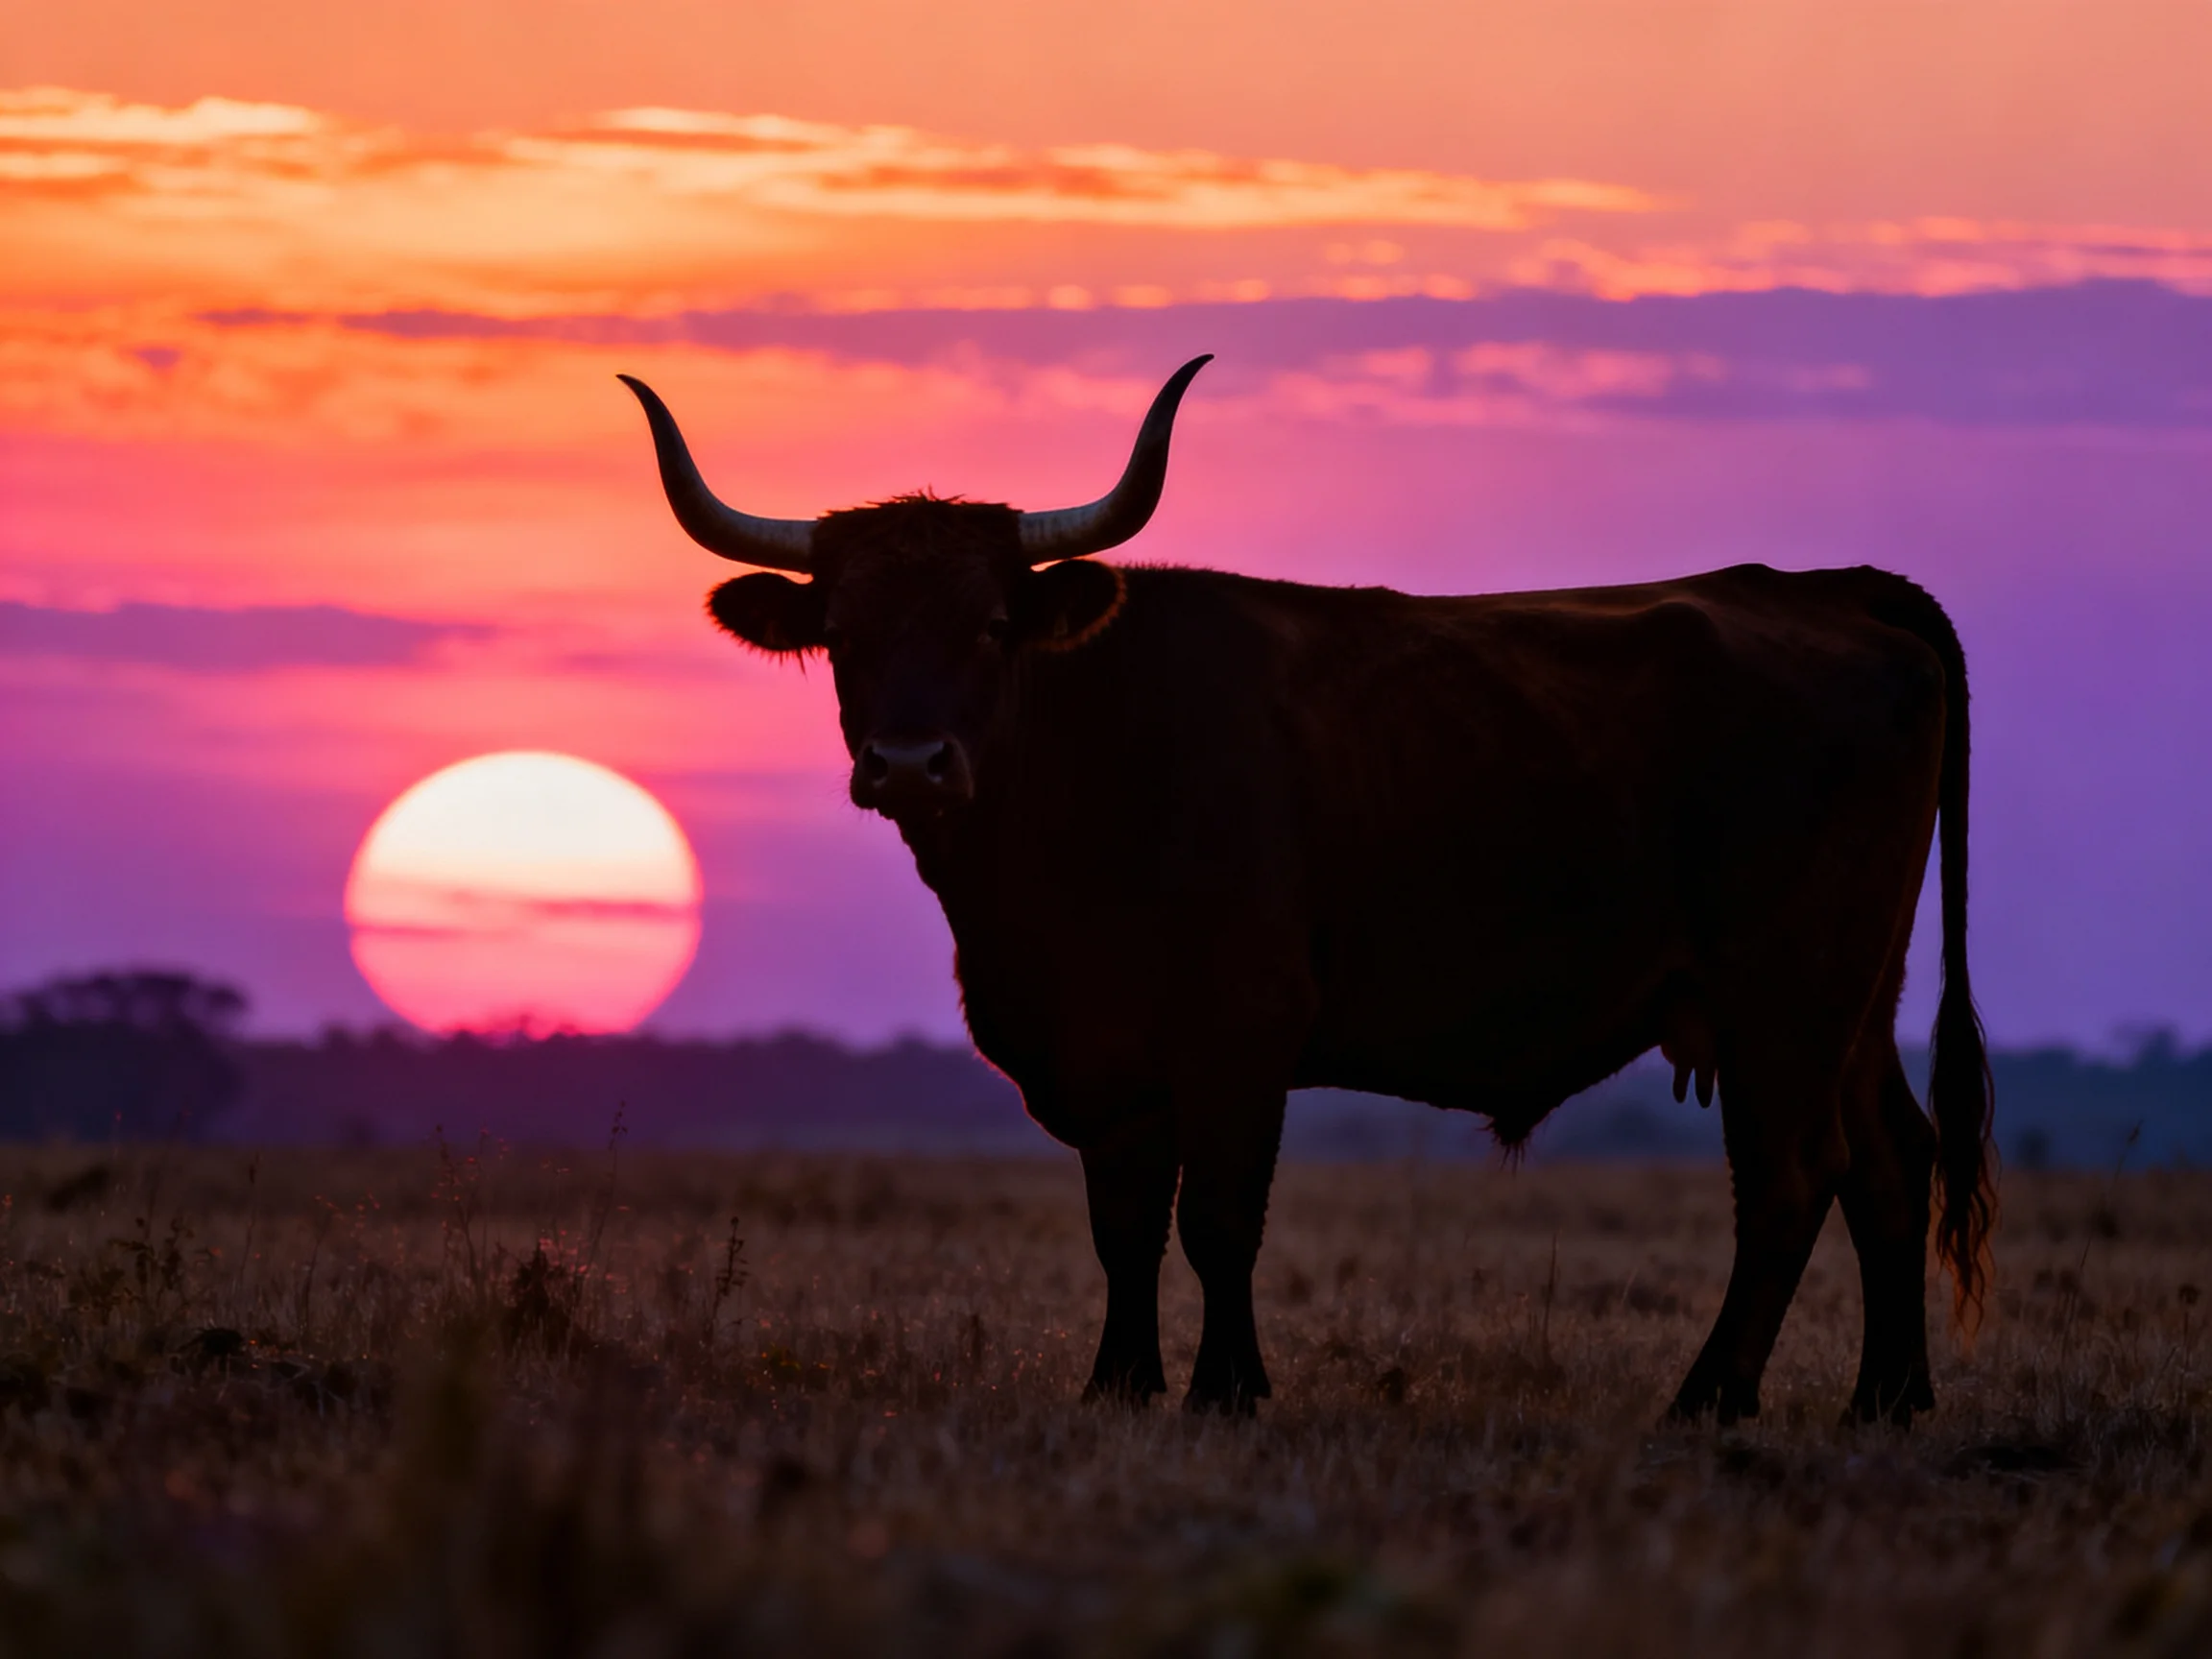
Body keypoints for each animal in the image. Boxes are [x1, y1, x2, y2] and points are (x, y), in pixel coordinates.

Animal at [620, 356, 1995, 1425]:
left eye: (992, 624)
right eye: (846, 631)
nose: (910, 762)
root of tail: (1830, 590)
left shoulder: (1240, 1029)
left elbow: (1220, 1217)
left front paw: (1227, 1390)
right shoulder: (1111, 1058)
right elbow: (1125, 1221)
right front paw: (1119, 1386)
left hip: (1786, 994)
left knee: (1791, 1176)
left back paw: (1709, 1398)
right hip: (1854, 997)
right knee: (1890, 1158)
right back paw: (1886, 1401)